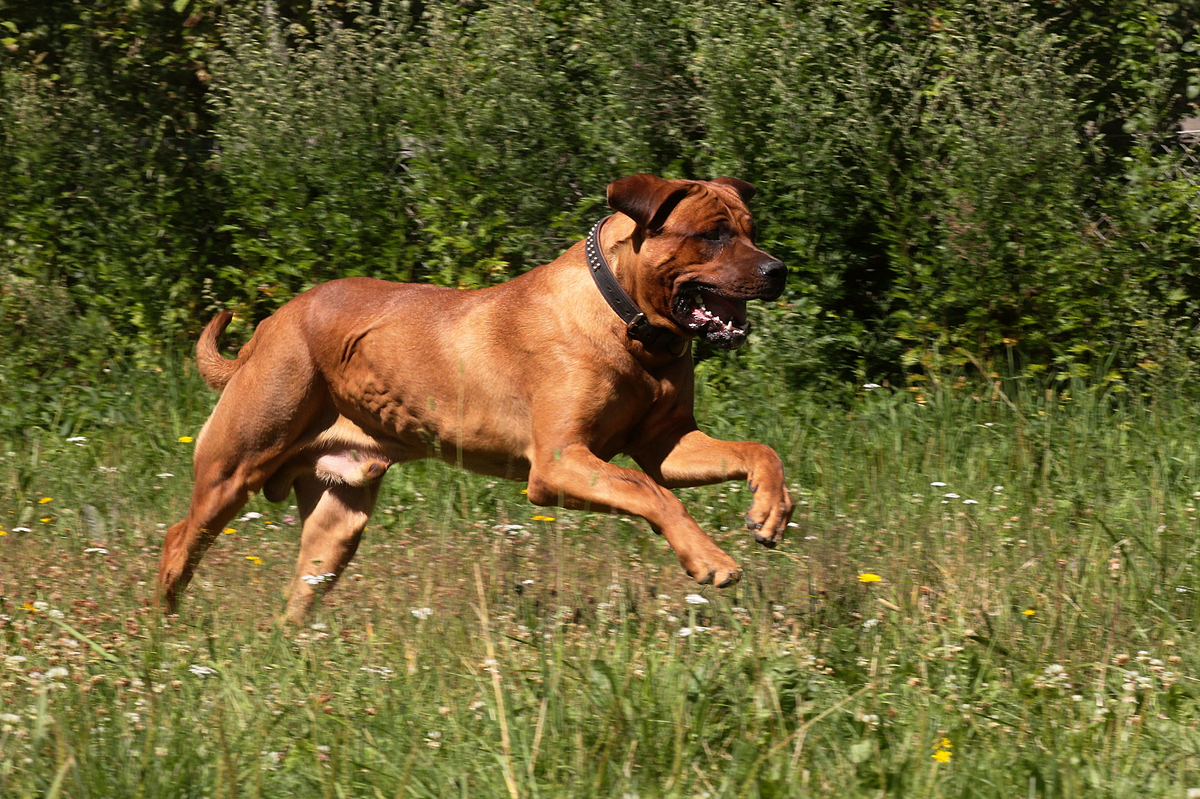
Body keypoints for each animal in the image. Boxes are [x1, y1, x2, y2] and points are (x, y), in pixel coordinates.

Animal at [159, 176, 796, 623]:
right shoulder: (558, 463)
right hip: (234, 465)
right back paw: (168, 627)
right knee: (178, 541)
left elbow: (756, 451)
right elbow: (652, 493)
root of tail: (270, 326)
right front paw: (711, 560)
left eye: (750, 229)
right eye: (713, 234)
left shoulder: (669, 443)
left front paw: (770, 509)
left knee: (302, 588)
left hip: (338, 518)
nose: (779, 269)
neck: (634, 328)